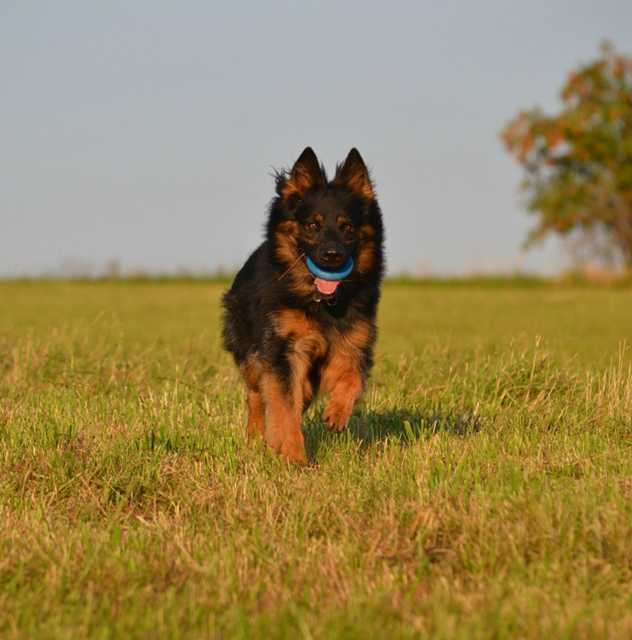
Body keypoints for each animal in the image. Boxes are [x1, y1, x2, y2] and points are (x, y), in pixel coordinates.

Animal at [222, 147, 384, 464]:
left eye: (347, 227)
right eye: (312, 226)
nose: (332, 256)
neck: (324, 304)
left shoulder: (353, 344)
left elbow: (352, 378)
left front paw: (337, 413)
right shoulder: (284, 352)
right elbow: (284, 407)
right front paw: (294, 457)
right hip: (253, 357)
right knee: (257, 397)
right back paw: (256, 437)